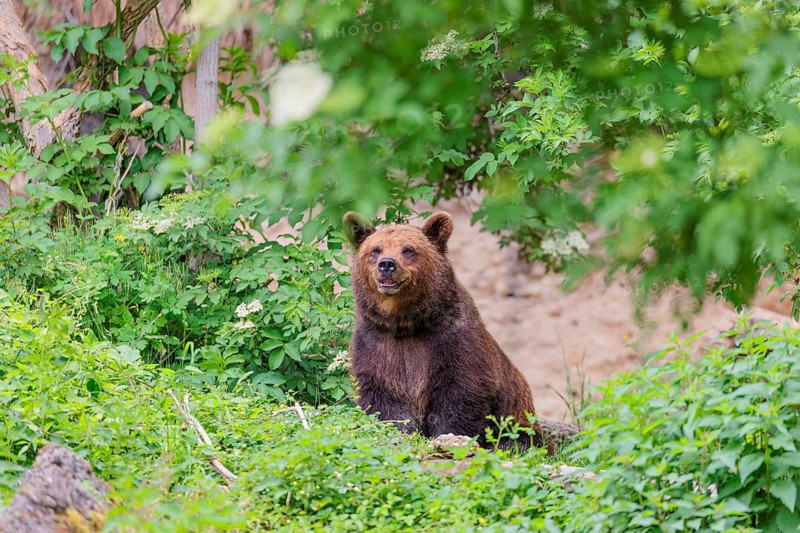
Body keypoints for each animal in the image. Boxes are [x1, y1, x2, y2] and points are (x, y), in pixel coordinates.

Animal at [343, 211, 547, 451]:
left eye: (408, 249)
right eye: (375, 250)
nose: (387, 264)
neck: (404, 323)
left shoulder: (452, 339)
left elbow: (460, 392)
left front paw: (449, 436)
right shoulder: (376, 342)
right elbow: (382, 397)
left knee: (519, 442)